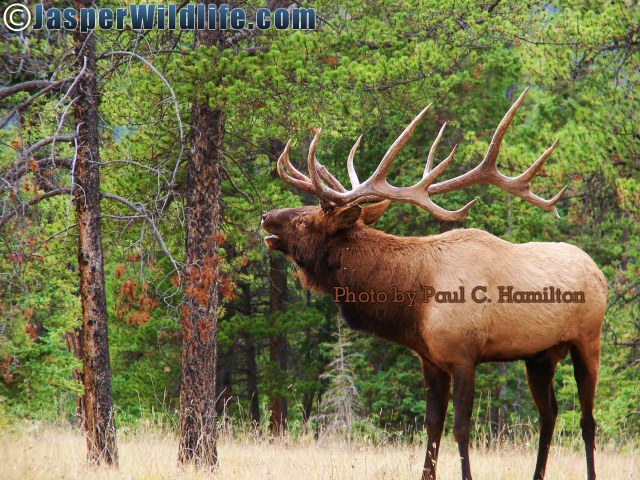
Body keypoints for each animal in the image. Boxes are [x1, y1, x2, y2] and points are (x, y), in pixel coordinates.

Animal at [261, 89, 607, 480]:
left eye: (304, 221)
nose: (266, 216)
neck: (414, 303)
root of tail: (598, 272)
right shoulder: (430, 360)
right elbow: (432, 426)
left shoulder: (464, 355)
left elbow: (461, 429)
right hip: (540, 355)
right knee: (549, 413)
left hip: (587, 341)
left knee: (587, 420)